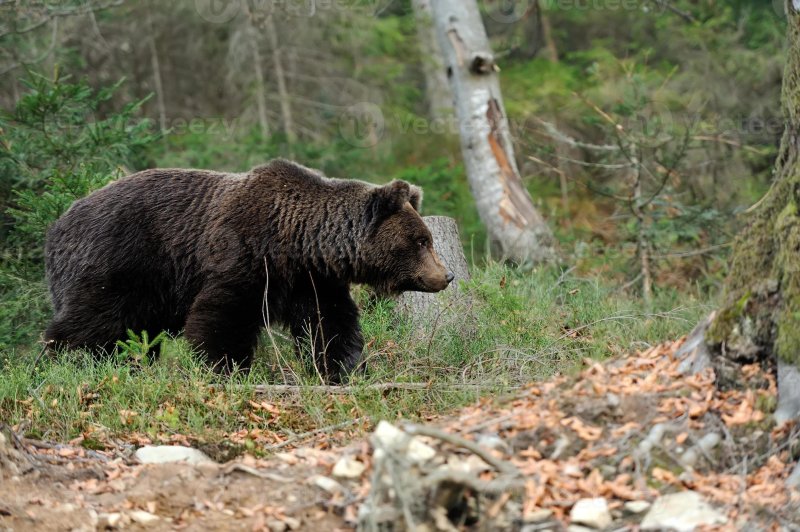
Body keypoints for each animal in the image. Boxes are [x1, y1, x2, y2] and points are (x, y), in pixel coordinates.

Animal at [43, 158, 454, 382]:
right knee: (92, 321)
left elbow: (330, 325)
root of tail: (56, 226)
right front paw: (222, 369)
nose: (446, 275)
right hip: (120, 263)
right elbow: (222, 317)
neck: (298, 243)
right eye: (421, 240)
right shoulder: (245, 256)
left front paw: (345, 369)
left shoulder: (312, 280)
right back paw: (62, 362)